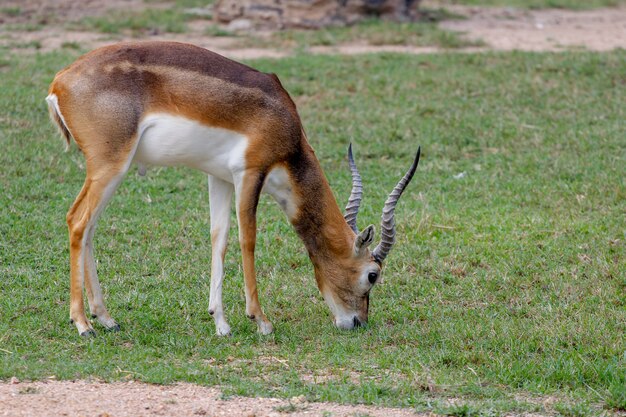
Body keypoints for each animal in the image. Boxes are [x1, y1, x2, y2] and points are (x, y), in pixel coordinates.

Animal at [47, 40, 420, 336]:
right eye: (372, 275)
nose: (358, 322)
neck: (284, 124)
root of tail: (59, 82)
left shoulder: (220, 177)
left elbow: (219, 238)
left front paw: (221, 323)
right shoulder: (250, 173)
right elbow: (247, 240)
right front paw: (261, 321)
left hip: (109, 171)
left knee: (88, 227)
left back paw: (106, 318)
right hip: (111, 165)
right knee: (77, 221)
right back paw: (83, 324)